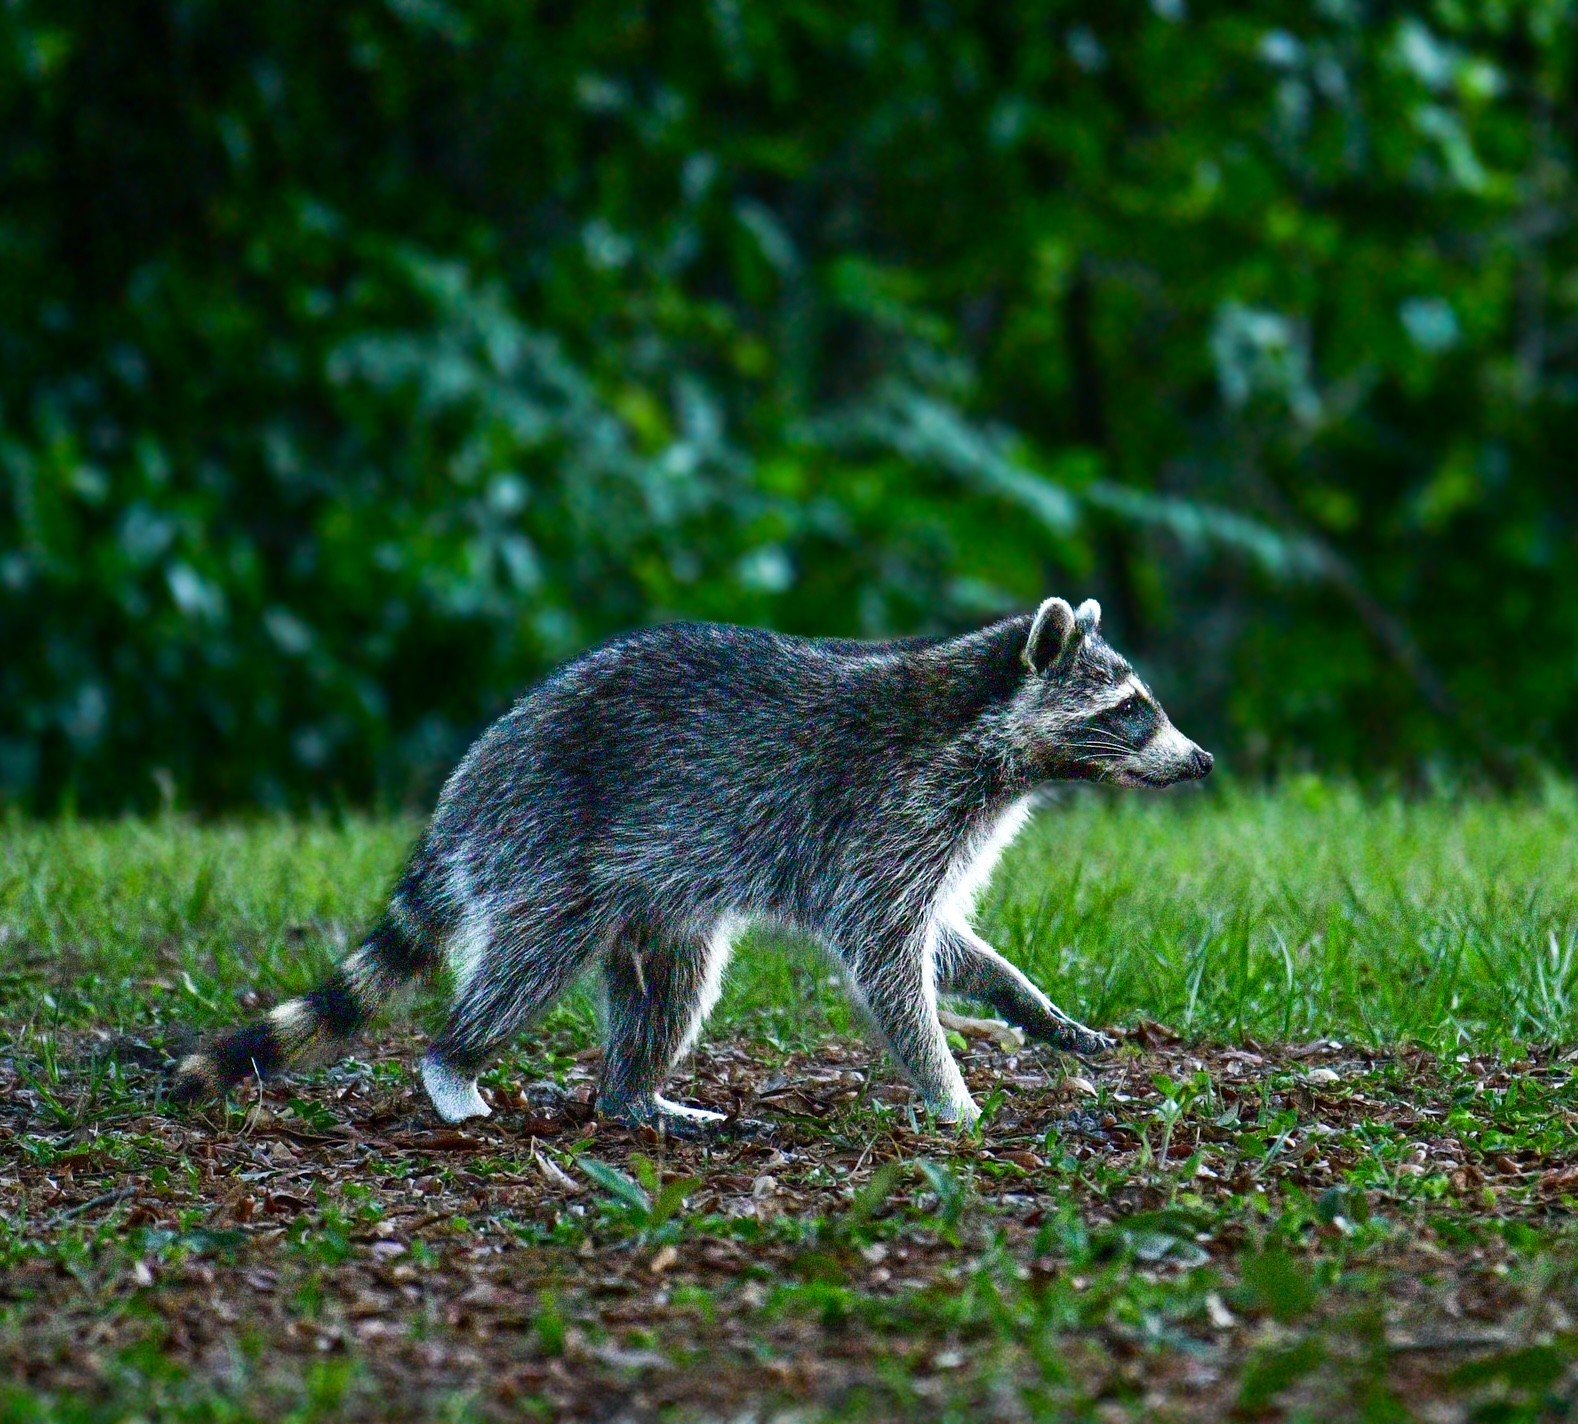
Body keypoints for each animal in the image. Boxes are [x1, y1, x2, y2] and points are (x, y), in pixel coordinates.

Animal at [171, 596, 1211, 1131]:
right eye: (1131, 709)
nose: (1201, 760)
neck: (989, 737)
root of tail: (469, 781)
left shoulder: (934, 830)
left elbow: (944, 944)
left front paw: (1028, 1004)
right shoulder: (886, 813)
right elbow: (887, 959)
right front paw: (950, 1093)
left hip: (654, 902)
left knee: (672, 989)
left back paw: (633, 1096)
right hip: (546, 842)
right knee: (524, 967)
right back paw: (454, 1063)